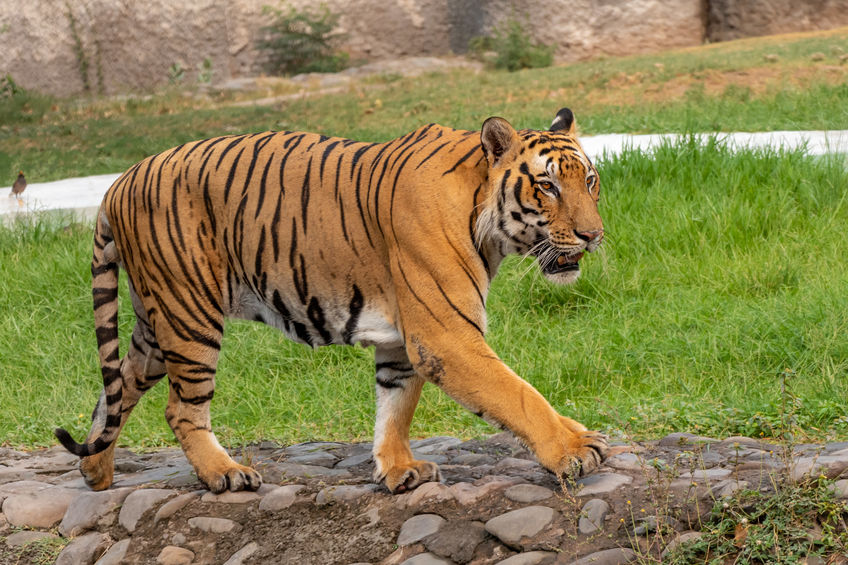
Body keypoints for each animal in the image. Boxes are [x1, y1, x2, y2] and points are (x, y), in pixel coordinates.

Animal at [55, 107, 609, 494]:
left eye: (590, 180)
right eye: (547, 186)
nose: (593, 236)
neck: (483, 216)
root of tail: (117, 183)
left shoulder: (402, 340)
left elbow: (395, 405)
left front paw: (398, 469)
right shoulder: (445, 336)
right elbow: (518, 395)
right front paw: (576, 447)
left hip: (158, 321)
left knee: (118, 387)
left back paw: (95, 472)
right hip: (190, 315)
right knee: (179, 408)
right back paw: (225, 474)